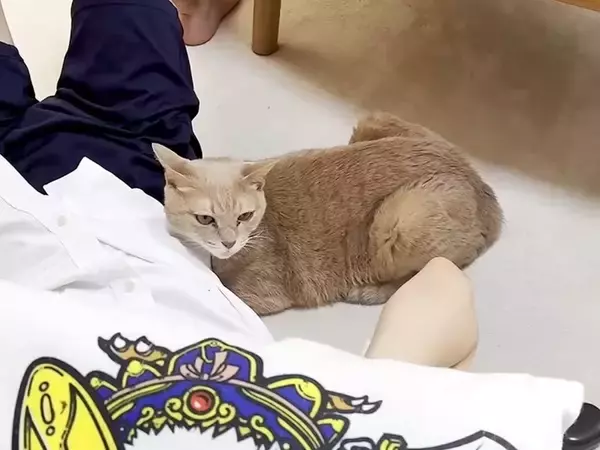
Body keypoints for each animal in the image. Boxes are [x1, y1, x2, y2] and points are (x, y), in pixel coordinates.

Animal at [154, 113, 503, 316]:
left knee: (430, 273)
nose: (228, 243)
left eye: (244, 217)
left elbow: (225, 293)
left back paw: (370, 291)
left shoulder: (261, 295)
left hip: (399, 220)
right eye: (205, 219)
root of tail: (481, 185)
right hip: (373, 121)